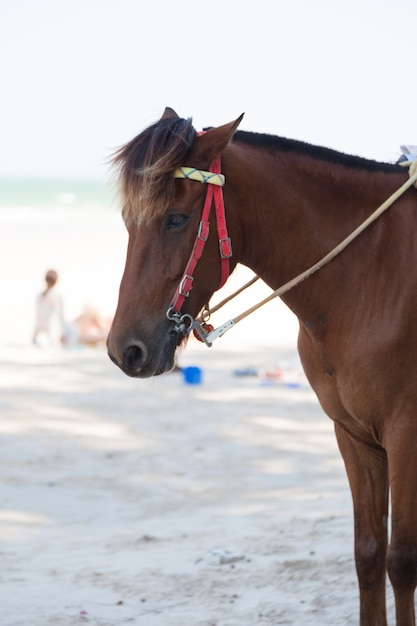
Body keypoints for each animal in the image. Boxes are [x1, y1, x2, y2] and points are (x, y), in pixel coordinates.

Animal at [106, 108, 416, 624]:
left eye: (176, 219)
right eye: (130, 221)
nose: (123, 350)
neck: (372, 276)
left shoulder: (405, 436)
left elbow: (402, 562)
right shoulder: (354, 437)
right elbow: (369, 555)